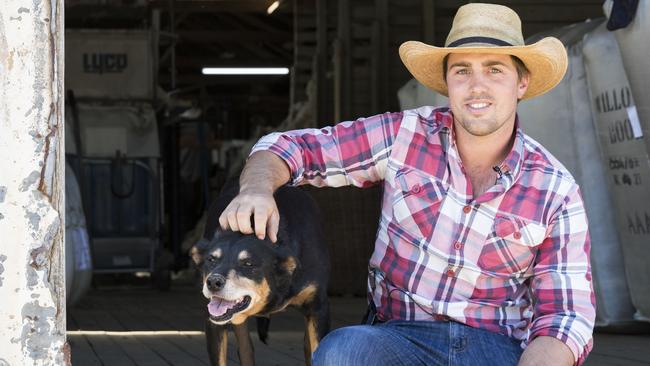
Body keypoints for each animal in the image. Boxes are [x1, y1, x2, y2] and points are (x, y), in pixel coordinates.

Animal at [190, 183, 326, 366]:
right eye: (211, 260)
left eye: (248, 264)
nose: (213, 282)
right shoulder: (213, 322)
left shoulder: (318, 308)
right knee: (246, 348)